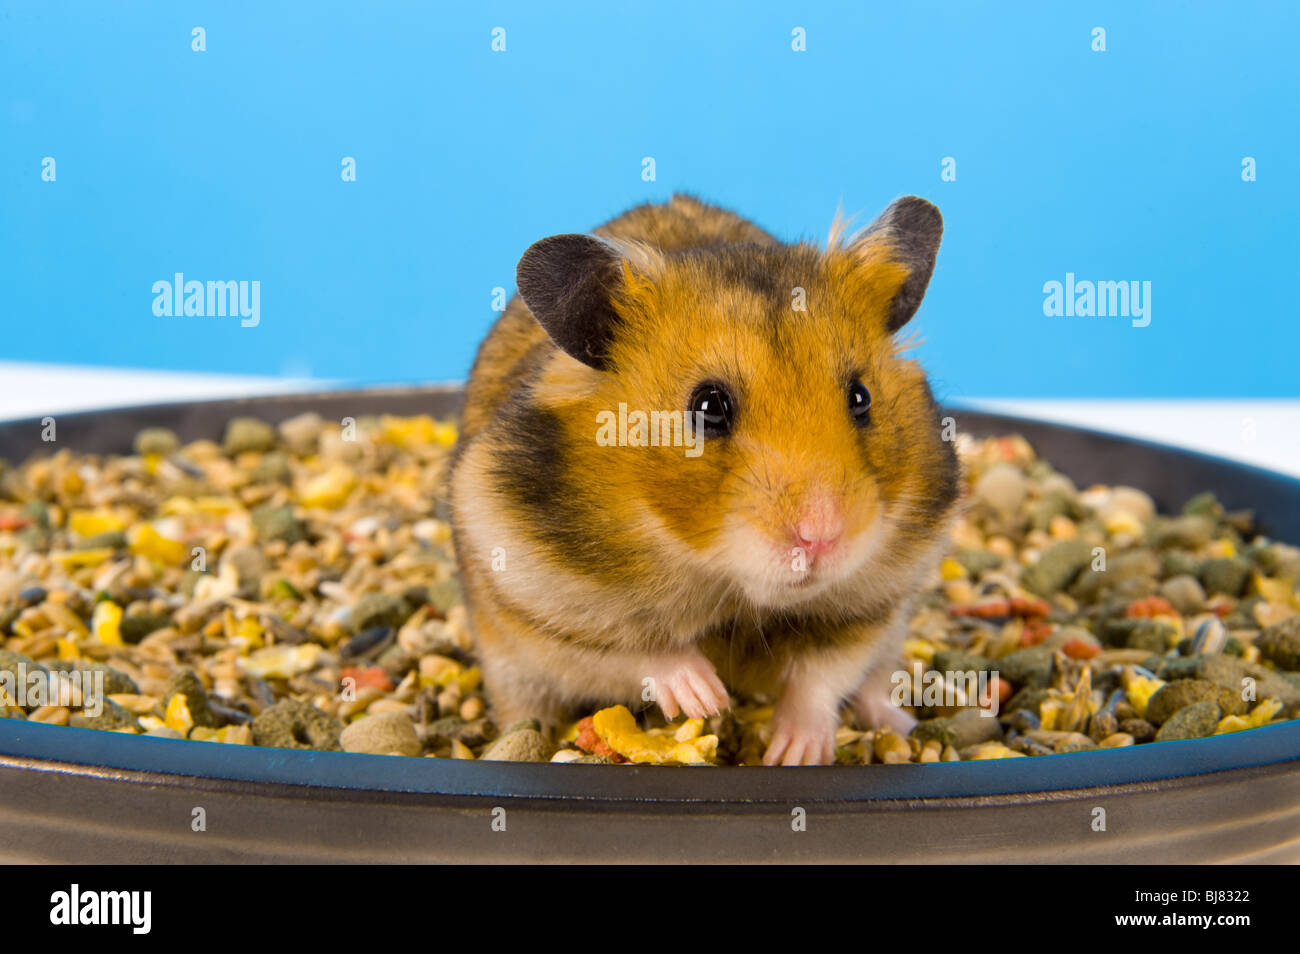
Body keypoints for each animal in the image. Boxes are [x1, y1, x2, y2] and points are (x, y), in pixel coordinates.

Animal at [449, 193, 961, 765]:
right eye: (708, 407)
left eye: (860, 396)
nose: (822, 537)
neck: (726, 583)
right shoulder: (542, 605)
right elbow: (638, 653)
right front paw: (707, 697)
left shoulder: (873, 604)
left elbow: (820, 675)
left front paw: (792, 753)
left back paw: (898, 723)